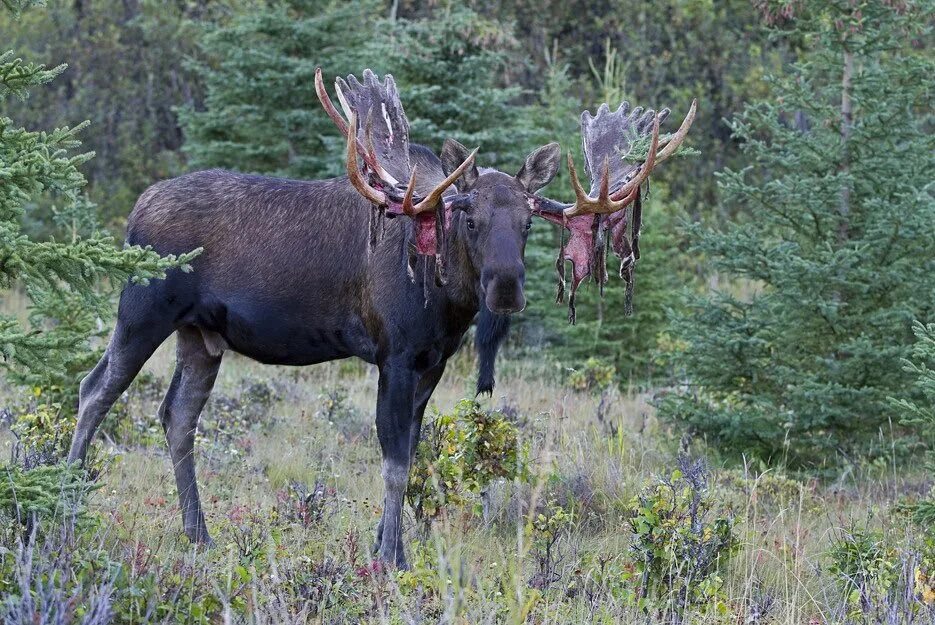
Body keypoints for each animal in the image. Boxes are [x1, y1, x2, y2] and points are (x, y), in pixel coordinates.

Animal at [67, 69, 696, 572]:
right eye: (469, 219)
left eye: (528, 224)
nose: (506, 287)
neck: (447, 302)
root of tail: (134, 212)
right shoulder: (392, 354)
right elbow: (393, 462)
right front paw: (392, 557)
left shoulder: (432, 364)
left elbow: (412, 455)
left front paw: (385, 546)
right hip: (142, 311)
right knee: (94, 389)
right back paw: (67, 505)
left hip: (201, 336)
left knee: (177, 416)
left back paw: (199, 535)